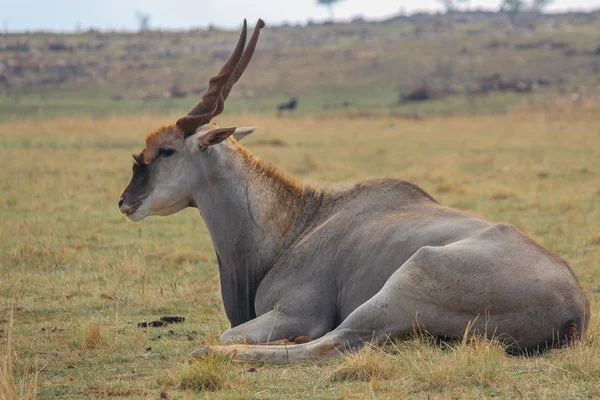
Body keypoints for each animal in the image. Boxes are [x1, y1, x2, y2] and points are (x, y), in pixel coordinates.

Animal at [119, 18, 588, 362]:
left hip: (406, 282)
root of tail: (574, 310)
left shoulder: (297, 312)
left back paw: (211, 353)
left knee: (330, 343)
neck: (297, 222)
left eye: (166, 150)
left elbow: (236, 333)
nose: (125, 201)